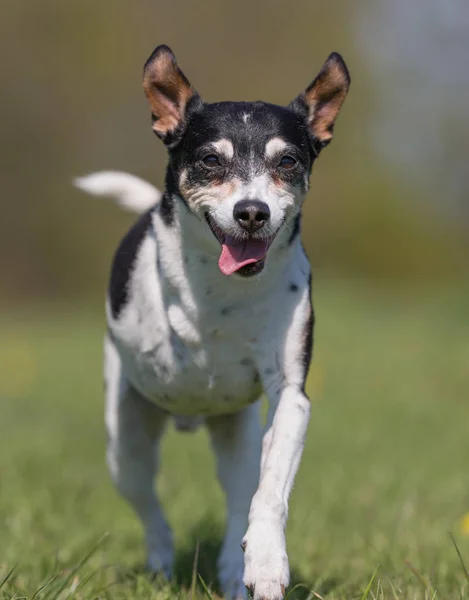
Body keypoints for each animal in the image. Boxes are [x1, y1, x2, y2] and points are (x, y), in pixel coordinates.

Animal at [75, 44, 350, 596]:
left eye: (287, 161)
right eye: (209, 160)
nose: (252, 212)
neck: (228, 291)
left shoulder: (291, 397)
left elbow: (270, 491)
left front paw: (266, 561)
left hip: (236, 440)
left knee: (240, 493)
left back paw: (231, 571)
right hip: (126, 448)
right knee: (150, 508)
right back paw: (160, 564)